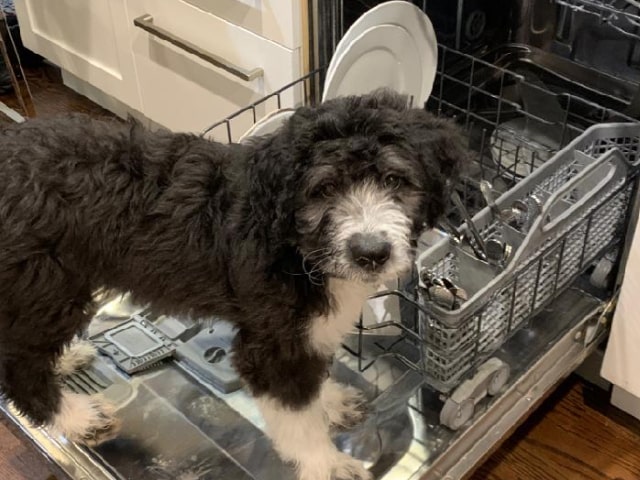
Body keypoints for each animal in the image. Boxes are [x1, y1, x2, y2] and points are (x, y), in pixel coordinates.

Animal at [0, 90, 464, 480]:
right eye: (325, 188)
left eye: (395, 180)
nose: (370, 253)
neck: (291, 243)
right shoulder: (272, 343)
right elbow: (295, 411)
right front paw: (325, 463)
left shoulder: (306, 332)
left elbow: (311, 384)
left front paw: (330, 402)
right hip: (44, 285)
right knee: (20, 367)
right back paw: (78, 417)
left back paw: (67, 360)